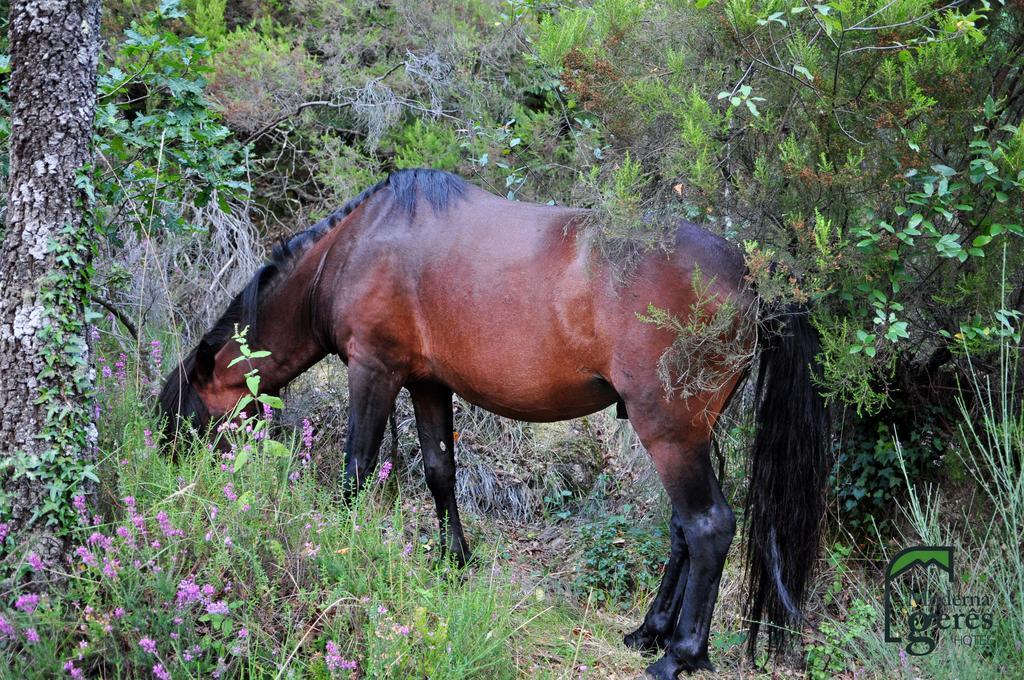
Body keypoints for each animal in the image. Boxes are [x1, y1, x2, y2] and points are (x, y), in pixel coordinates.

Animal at [161, 166, 831, 675]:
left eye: (190, 420)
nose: (180, 487)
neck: (354, 249)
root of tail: (749, 274)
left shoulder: (374, 371)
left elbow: (356, 470)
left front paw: (337, 550)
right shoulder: (428, 383)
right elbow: (440, 472)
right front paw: (454, 561)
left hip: (669, 431)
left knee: (708, 526)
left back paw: (681, 654)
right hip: (687, 434)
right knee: (682, 529)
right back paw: (651, 631)